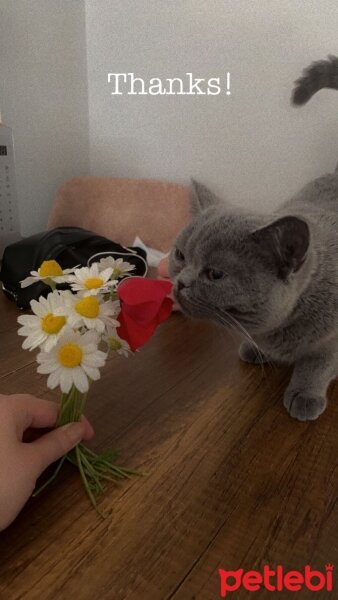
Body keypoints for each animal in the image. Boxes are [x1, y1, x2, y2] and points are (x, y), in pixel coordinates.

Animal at [169, 132, 338, 418]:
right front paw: (257, 349)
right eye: (180, 255)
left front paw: (305, 395)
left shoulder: (332, 342)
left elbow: (318, 364)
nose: (181, 282)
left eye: (215, 274)